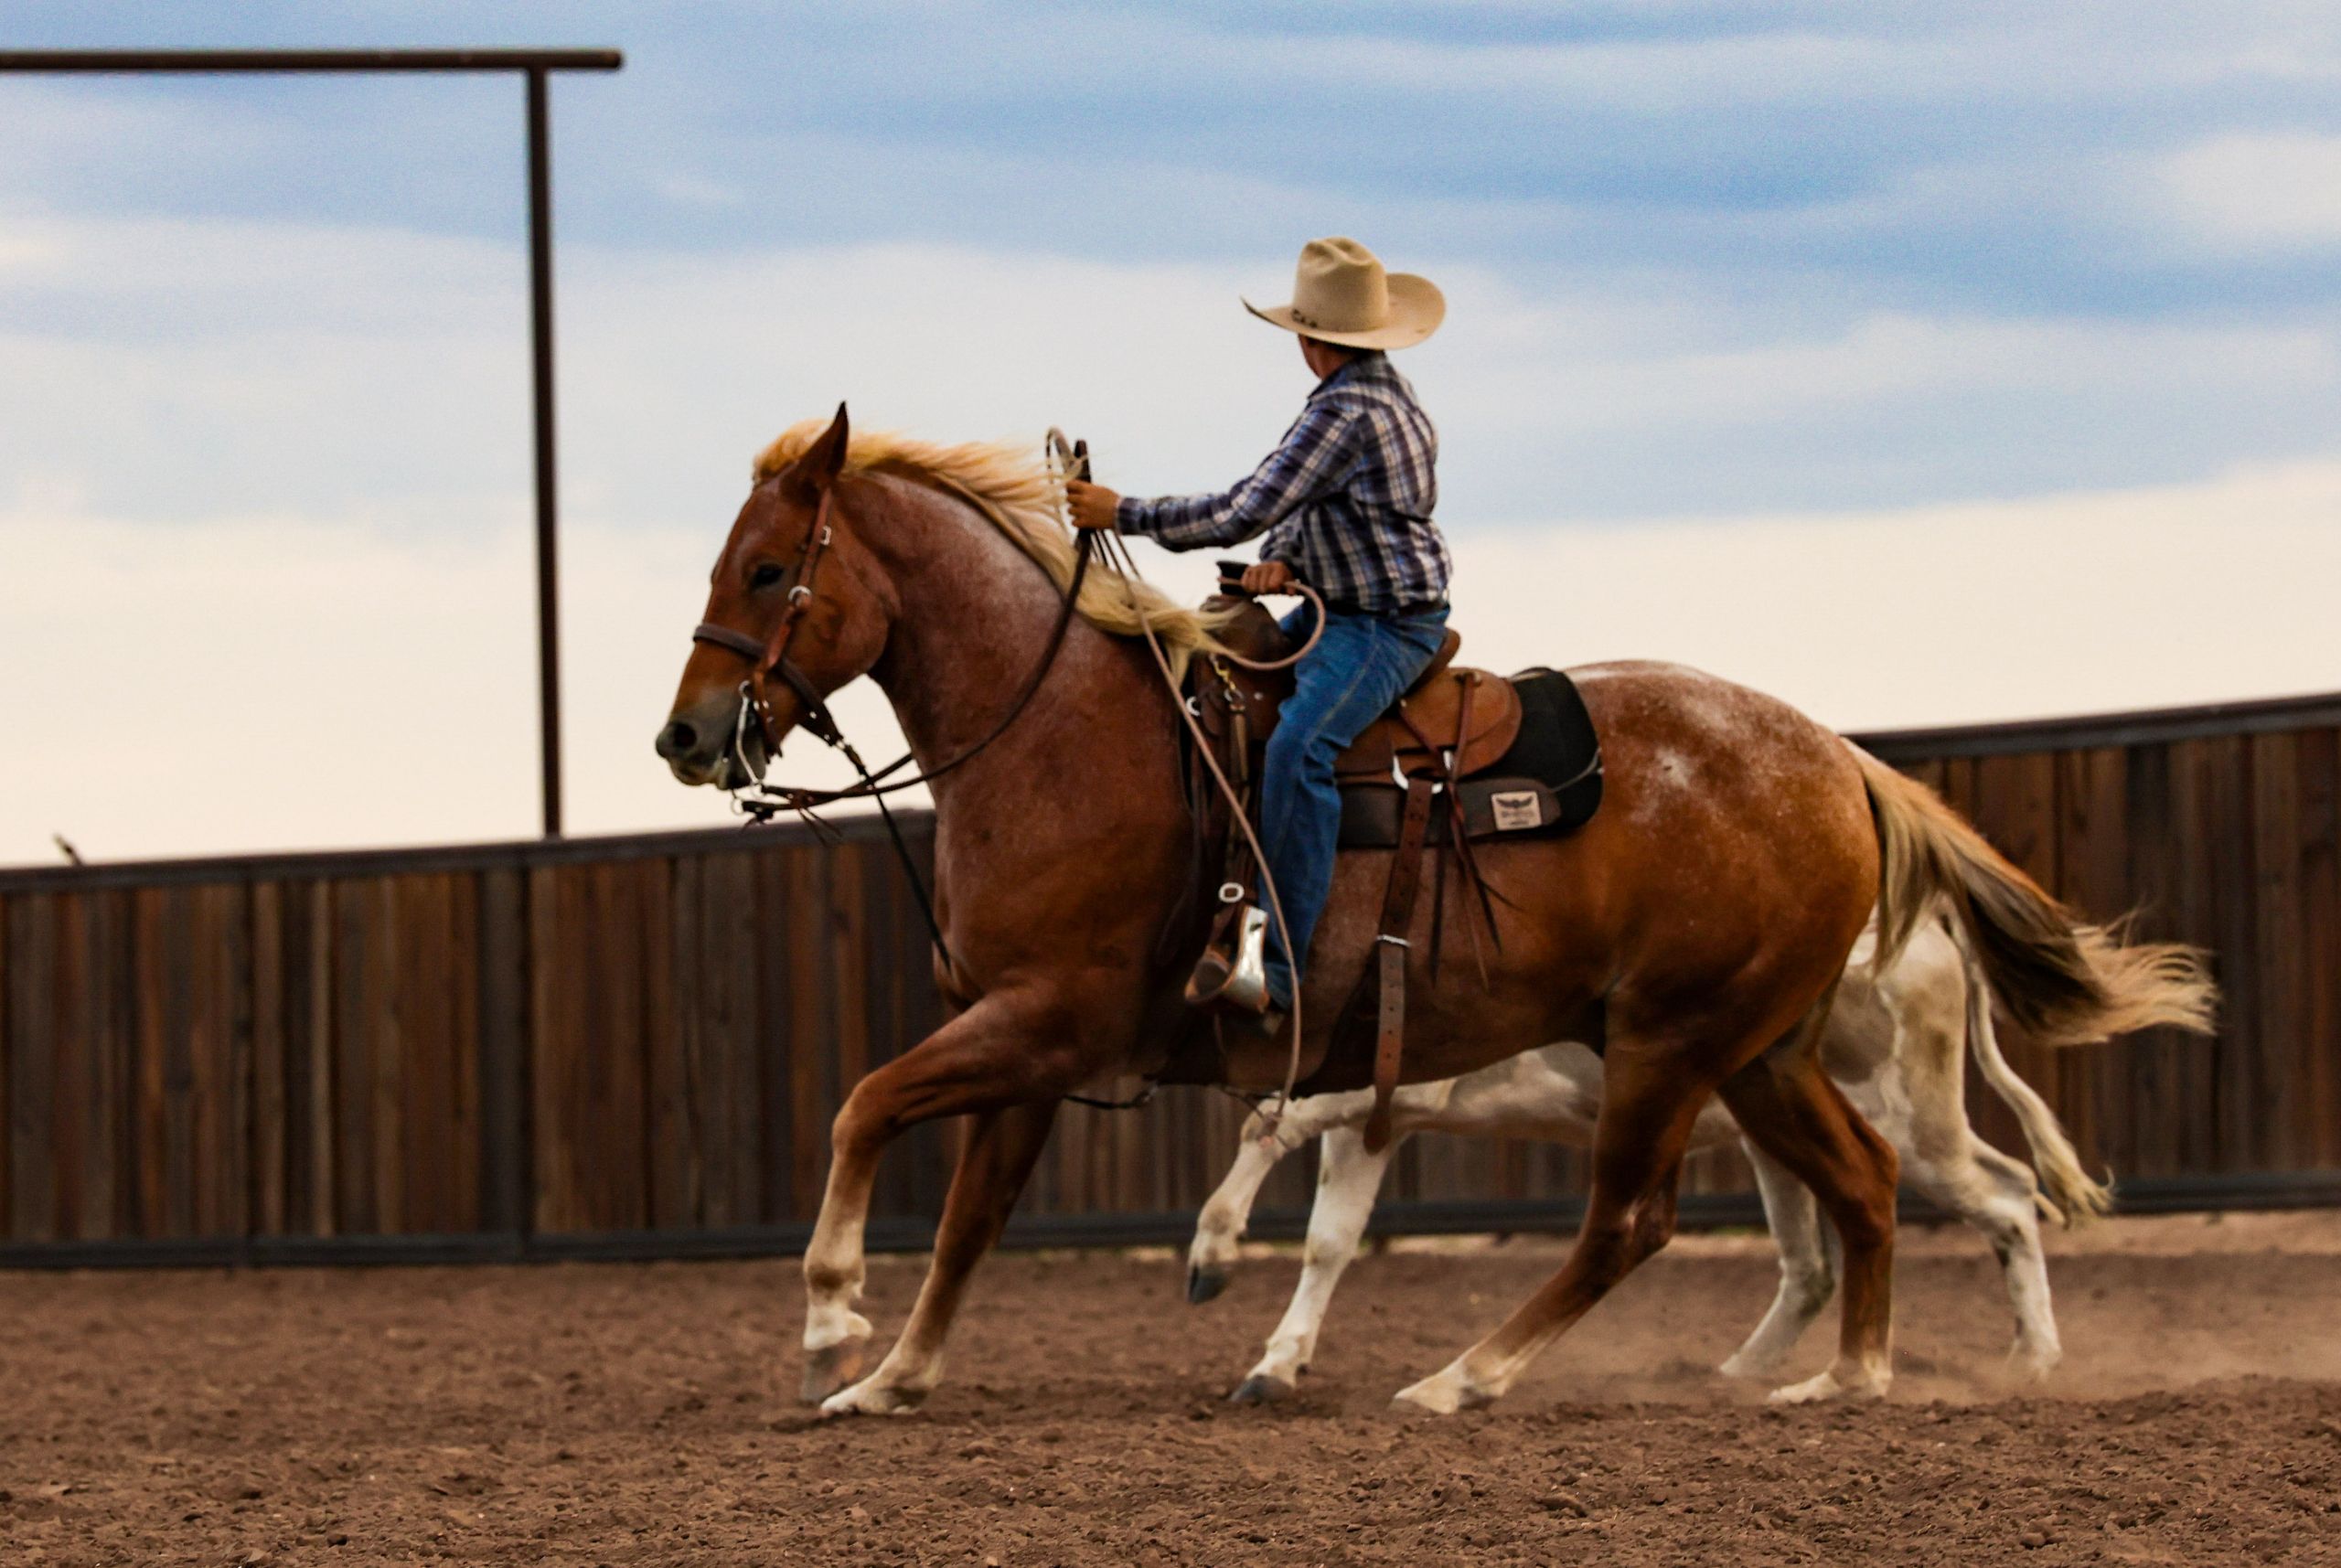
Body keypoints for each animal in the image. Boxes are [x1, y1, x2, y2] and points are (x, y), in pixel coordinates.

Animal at [1184, 908, 2213, 1404]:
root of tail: (1924, 929)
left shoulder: (1380, 1094)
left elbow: (1262, 1132)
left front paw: (1212, 1255)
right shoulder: (1379, 1119)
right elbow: (1330, 1240)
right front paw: (1275, 1364)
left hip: (1913, 1116)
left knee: (2003, 1195)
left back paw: (2032, 1355)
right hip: (1779, 1137)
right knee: (1813, 1264)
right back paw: (1741, 1371)